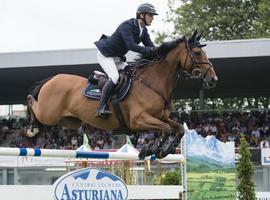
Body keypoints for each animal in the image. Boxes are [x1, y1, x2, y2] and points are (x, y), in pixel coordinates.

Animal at [25, 29, 218, 159]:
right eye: (197, 53)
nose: (213, 79)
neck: (152, 83)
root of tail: (53, 78)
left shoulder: (160, 117)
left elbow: (177, 128)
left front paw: (165, 150)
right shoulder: (139, 120)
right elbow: (166, 129)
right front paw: (153, 149)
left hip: (68, 121)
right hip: (48, 113)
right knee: (31, 100)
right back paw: (31, 128)